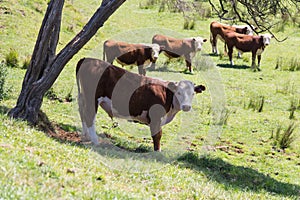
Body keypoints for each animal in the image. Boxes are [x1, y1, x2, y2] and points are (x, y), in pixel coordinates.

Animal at [76, 57, 205, 152]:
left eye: (193, 93)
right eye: (178, 92)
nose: (186, 107)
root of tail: (87, 59)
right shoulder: (156, 117)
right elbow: (157, 135)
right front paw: (157, 152)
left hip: (83, 97)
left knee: (82, 113)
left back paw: (86, 135)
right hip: (92, 98)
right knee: (89, 116)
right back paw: (95, 141)